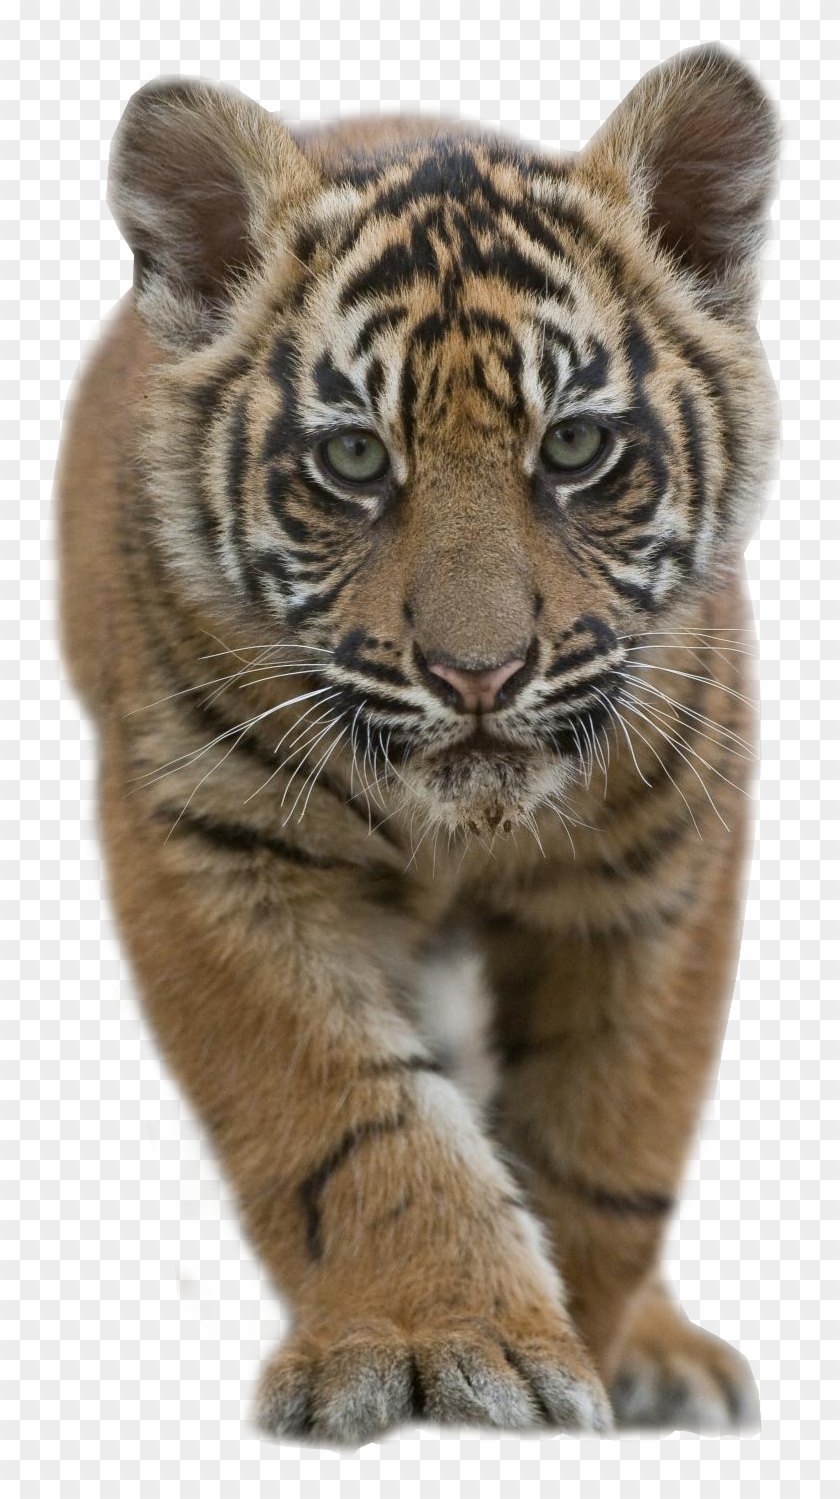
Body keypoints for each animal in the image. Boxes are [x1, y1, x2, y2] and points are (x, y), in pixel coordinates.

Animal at [58, 44, 779, 1442]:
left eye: (575, 444)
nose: (478, 673)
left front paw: (585, 1340)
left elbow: (611, 1136)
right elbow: (345, 1112)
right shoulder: (208, 840)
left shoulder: (665, 858)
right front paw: (442, 1338)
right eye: (352, 459)